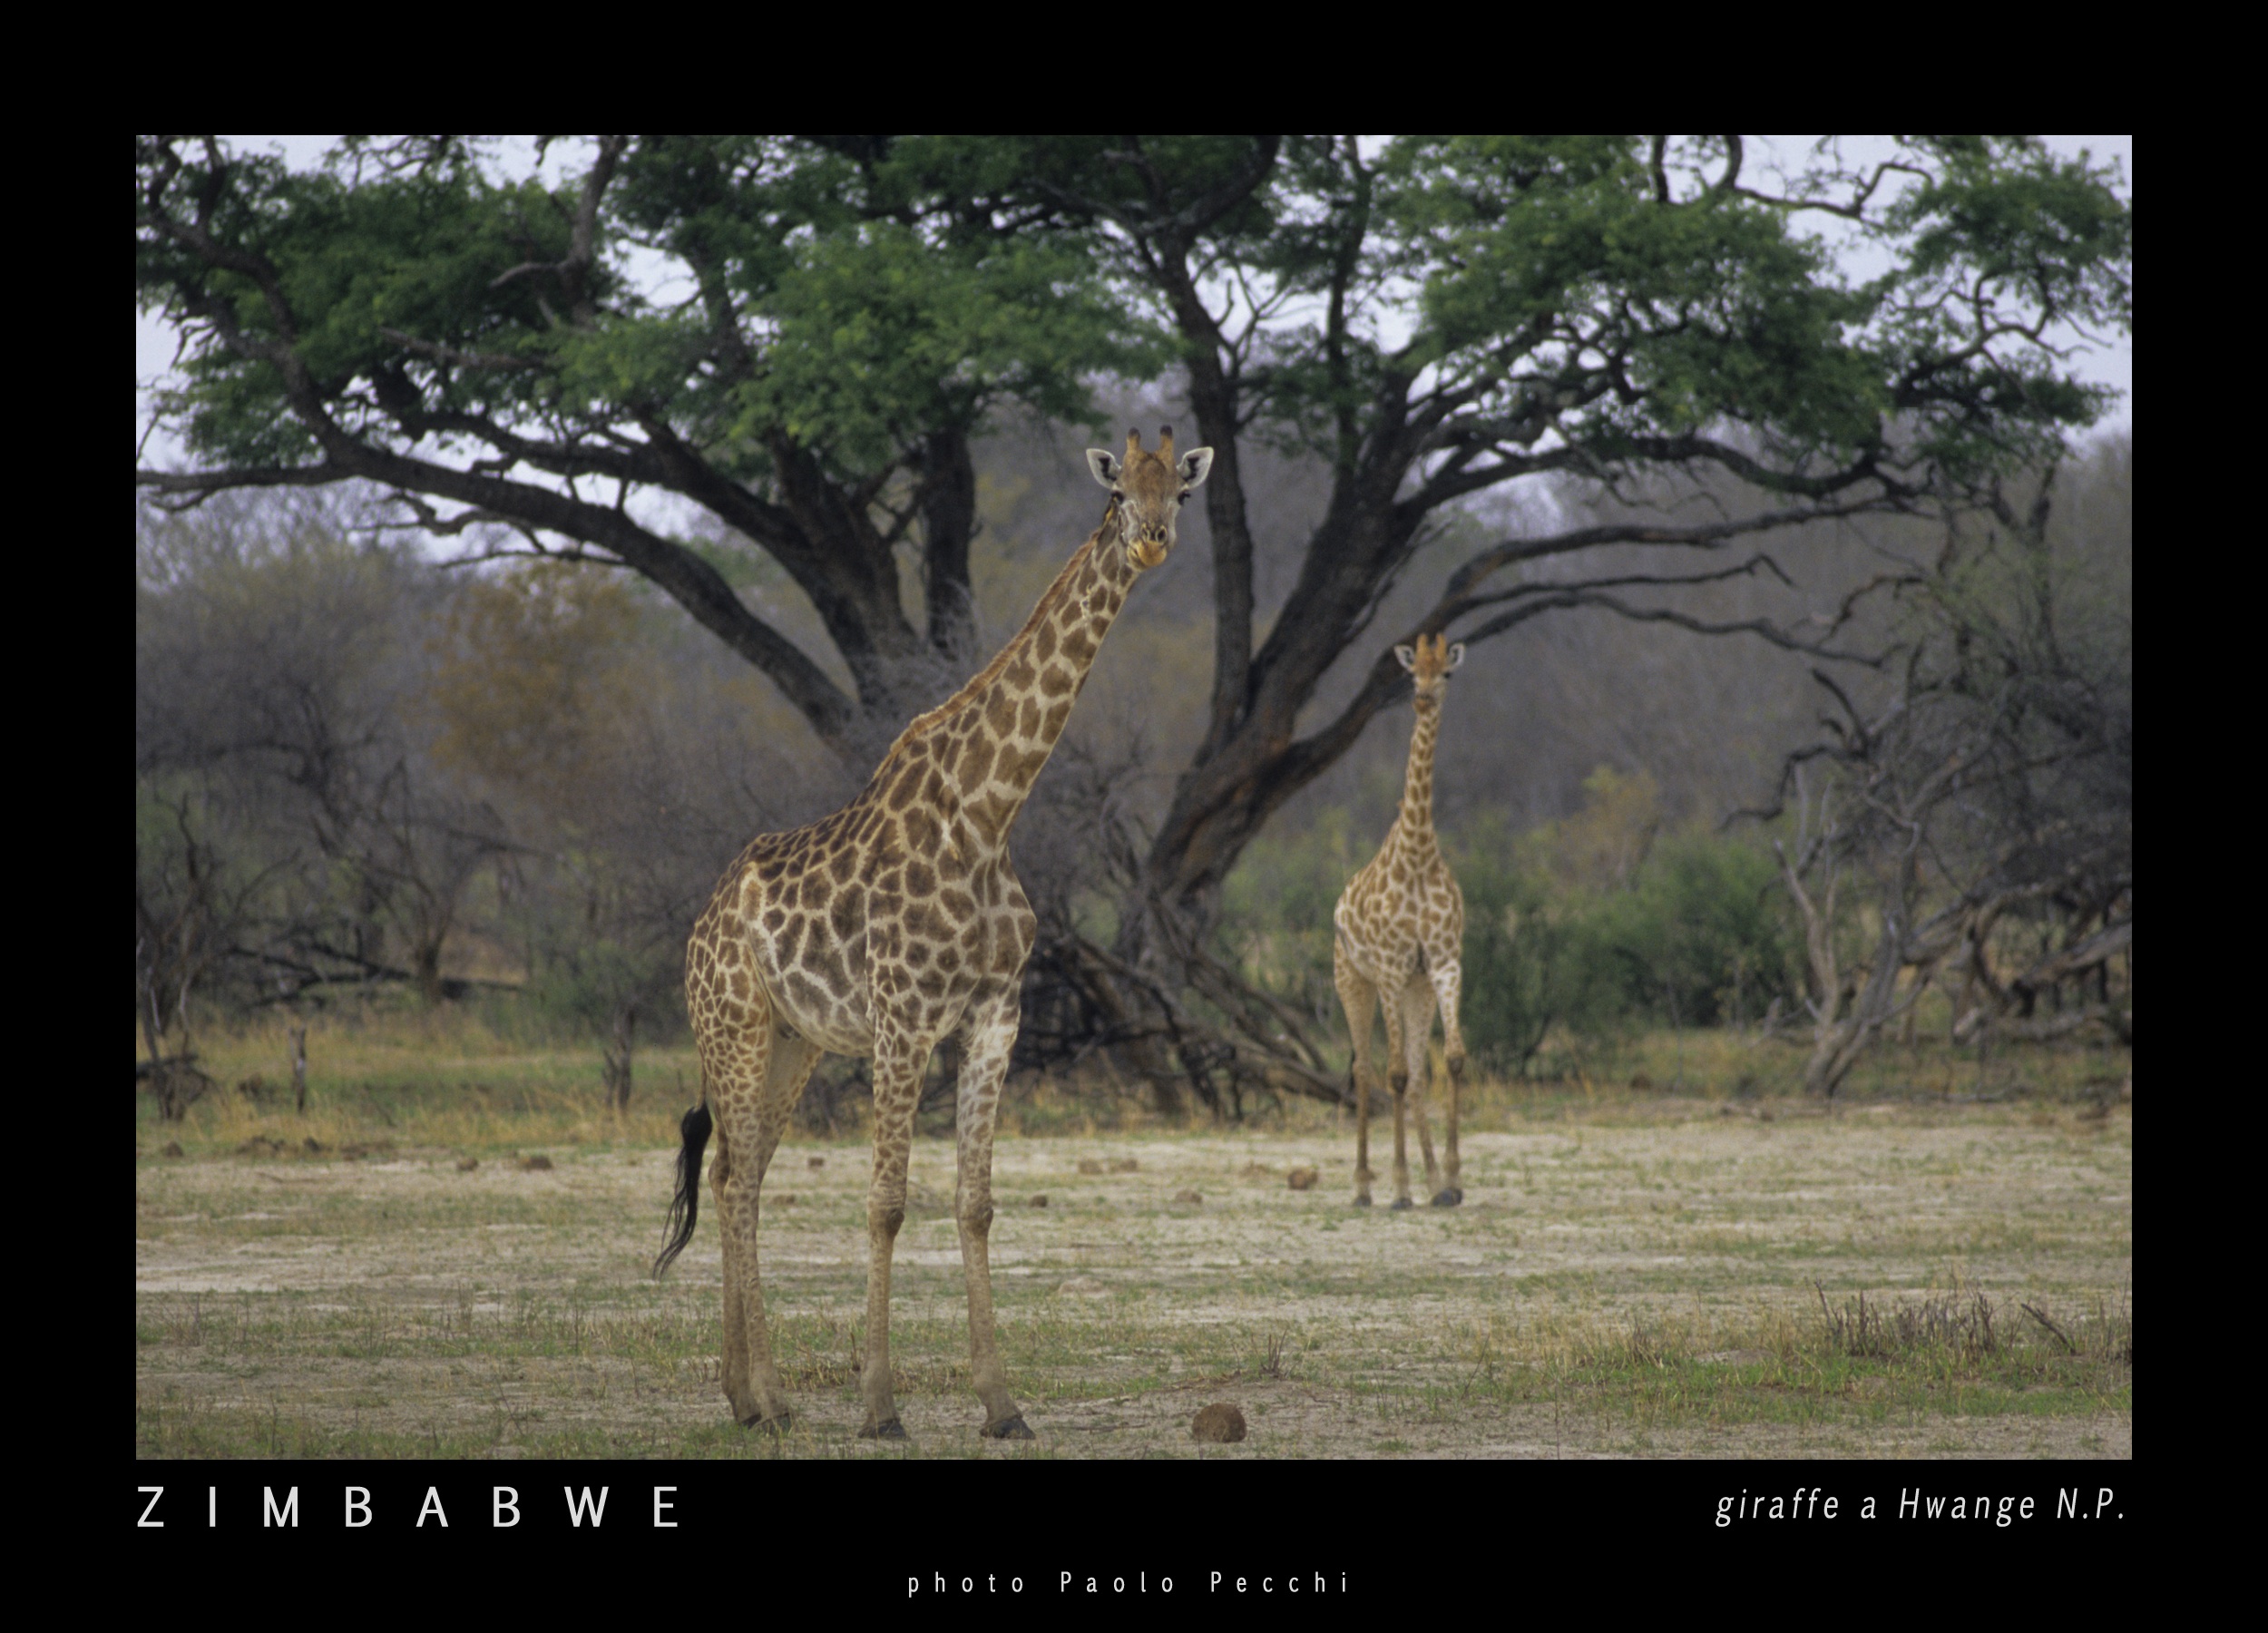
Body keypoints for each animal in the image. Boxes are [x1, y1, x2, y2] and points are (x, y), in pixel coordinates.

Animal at [656, 427, 1213, 1440]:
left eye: (1179, 494)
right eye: (1118, 491)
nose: (1152, 541)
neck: (989, 812)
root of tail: (704, 922)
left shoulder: (995, 1016)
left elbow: (976, 1203)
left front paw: (1002, 1405)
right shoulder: (904, 1019)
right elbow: (885, 1202)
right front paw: (880, 1407)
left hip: (795, 1039)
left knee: (734, 1173)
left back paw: (755, 1397)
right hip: (734, 1025)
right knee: (734, 1175)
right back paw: (765, 1397)